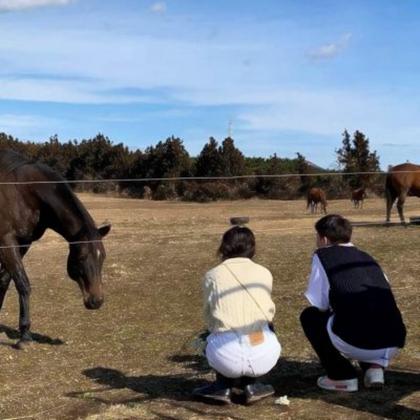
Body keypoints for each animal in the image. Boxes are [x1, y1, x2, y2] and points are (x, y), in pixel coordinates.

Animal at [0, 151, 111, 348]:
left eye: (102, 257)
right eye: (81, 258)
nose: (96, 301)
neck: (23, 191)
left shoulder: (23, 243)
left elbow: (4, 281)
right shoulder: (6, 240)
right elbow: (22, 283)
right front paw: (25, 336)